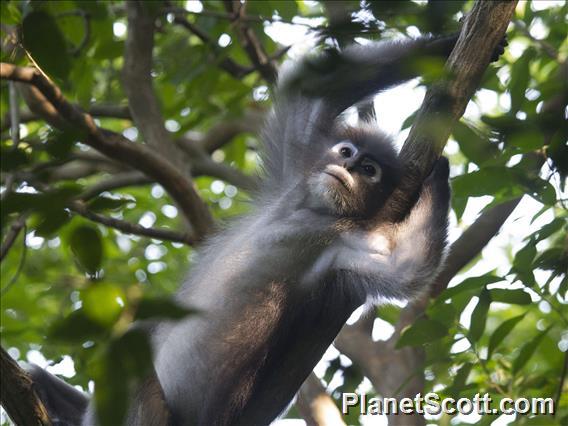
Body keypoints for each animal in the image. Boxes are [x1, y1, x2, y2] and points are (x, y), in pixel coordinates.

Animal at [26, 33, 506, 426]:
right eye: (347, 152)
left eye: (369, 170)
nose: (348, 168)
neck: (311, 212)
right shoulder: (297, 170)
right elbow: (314, 89)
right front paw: (450, 43)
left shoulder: (342, 247)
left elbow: (406, 269)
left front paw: (439, 171)